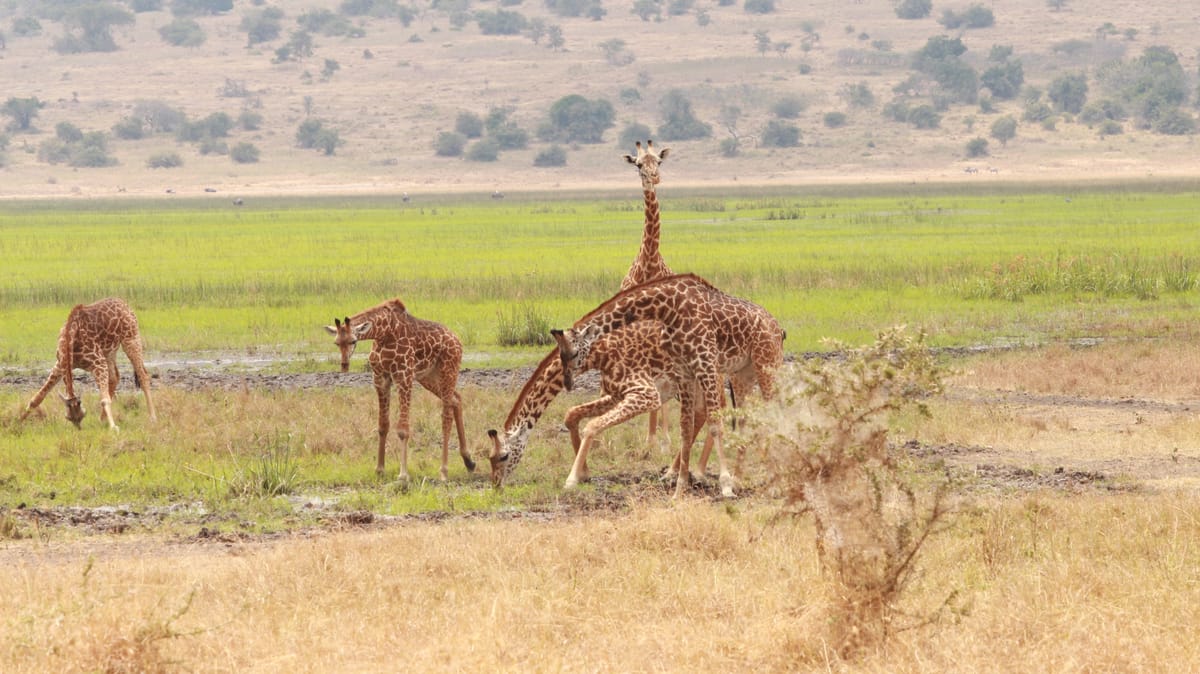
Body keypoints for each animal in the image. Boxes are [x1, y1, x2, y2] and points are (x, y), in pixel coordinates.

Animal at [21, 297, 156, 430]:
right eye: (68, 418)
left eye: (82, 415)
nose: (79, 429)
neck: (70, 340)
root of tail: (124, 303)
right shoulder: (59, 365)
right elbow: (37, 398)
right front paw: (18, 422)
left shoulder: (98, 363)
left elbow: (104, 399)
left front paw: (113, 427)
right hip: (109, 352)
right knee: (115, 378)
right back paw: (102, 419)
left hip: (131, 339)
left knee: (143, 376)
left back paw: (152, 417)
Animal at [325, 298, 475, 481]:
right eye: (336, 343)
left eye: (353, 341)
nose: (344, 365)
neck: (383, 334)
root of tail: (458, 341)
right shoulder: (380, 379)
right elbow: (383, 426)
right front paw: (380, 469)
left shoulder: (403, 377)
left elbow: (403, 430)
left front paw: (403, 475)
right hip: (428, 377)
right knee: (457, 399)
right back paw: (469, 461)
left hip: (449, 370)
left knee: (446, 418)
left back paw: (444, 471)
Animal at [552, 273, 784, 498]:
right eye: (560, 355)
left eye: (573, 353)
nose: (568, 383)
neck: (668, 310)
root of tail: (779, 329)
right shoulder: (685, 372)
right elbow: (685, 429)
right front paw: (680, 488)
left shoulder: (706, 365)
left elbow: (715, 425)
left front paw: (725, 486)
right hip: (743, 374)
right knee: (745, 420)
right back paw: (739, 480)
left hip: (766, 366)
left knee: (773, 417)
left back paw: (771, 485)